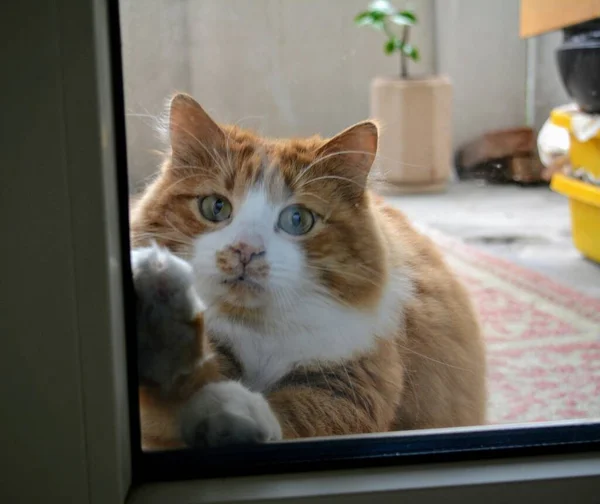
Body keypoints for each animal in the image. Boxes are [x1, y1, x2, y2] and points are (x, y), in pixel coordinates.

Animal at [129, 91, 486, 448]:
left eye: (297, 219)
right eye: (216, 207)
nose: (246, 250)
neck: (257, 331)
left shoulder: (354, 385)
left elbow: (296, 413)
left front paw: (241, 414)